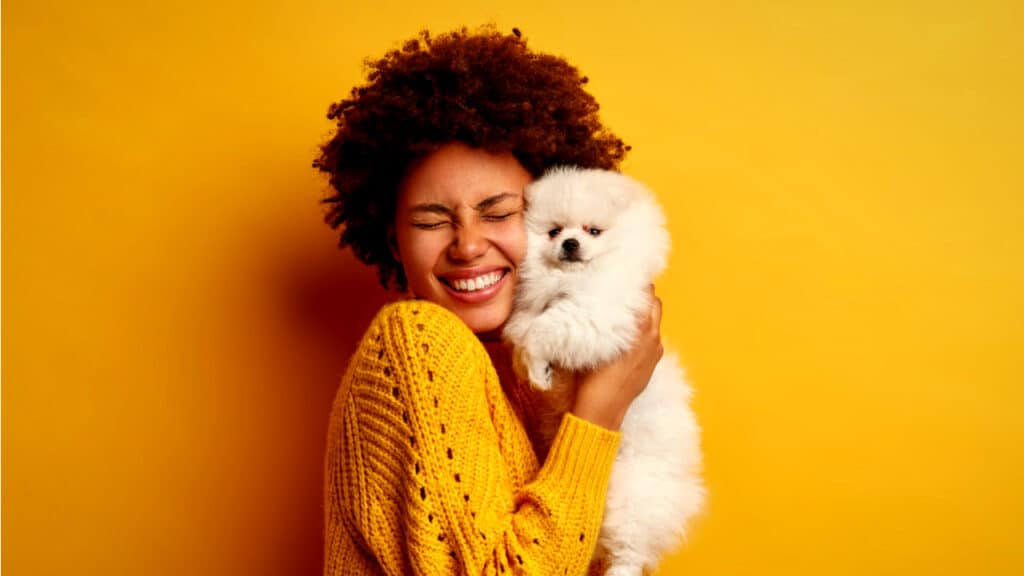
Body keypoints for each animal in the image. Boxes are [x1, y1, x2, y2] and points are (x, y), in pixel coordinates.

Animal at [501, 166, 704, 573]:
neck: (569, 280)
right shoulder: (533, 309)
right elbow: (521, 330)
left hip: (631, 492)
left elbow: (543, 330)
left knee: (631, 548)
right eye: (554, 231)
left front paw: (535, 361)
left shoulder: (599, 313)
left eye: (593, 231)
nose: (570, 243)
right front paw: (536, 373)